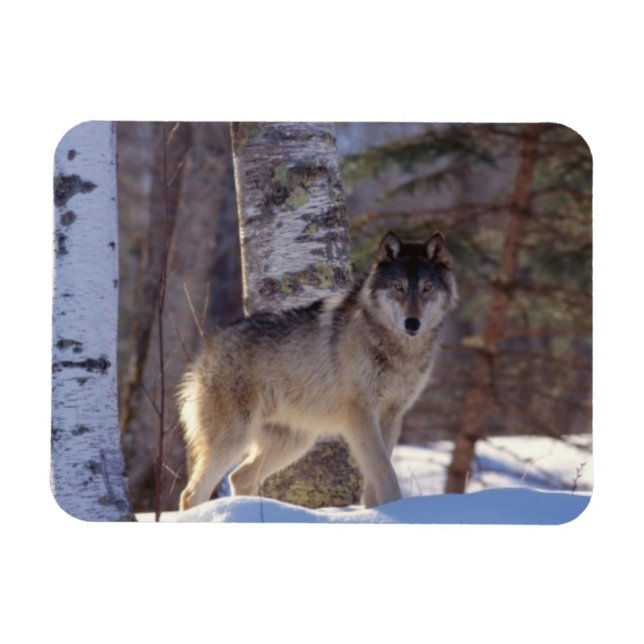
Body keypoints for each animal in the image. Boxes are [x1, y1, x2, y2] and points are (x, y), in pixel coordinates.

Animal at [177, 230, 458, 510]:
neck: (397, 351)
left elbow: (376, 477)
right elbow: (385, 473)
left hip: (294, 443)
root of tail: (208, 345)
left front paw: (377, 512)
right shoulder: (360, 415)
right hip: (235, 438)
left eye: (427, 288)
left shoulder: (392, 416)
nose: (412, 323)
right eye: (398, 287)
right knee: (191, 493)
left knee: (239, 477)